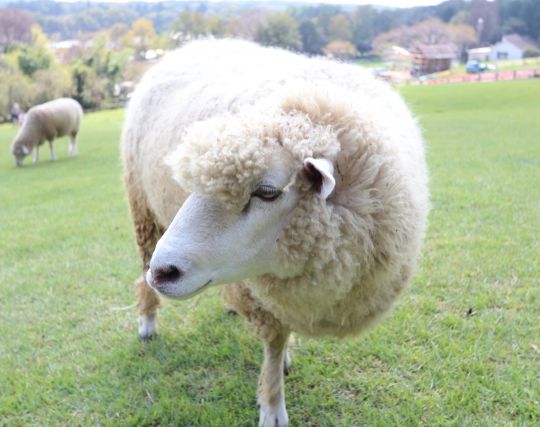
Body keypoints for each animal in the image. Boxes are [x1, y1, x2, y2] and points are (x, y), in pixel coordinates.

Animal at [121, 38, 430, 426]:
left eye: (267, 192)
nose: (163, 273)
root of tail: (193, 43)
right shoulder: (261, 294)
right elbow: (274, 342)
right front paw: (272, 406)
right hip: (142, 209)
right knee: (141, 259)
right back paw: (147, 322)